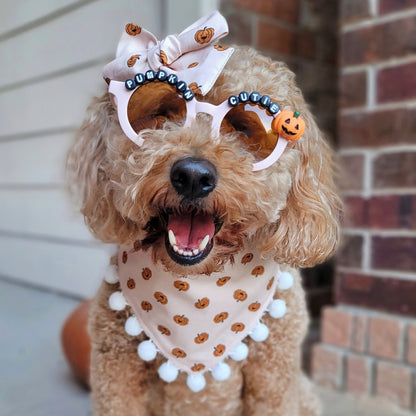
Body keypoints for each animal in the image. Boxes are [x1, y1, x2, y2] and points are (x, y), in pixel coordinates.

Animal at [66, 11, 342, 416]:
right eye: (161, 113)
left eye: (243, 127)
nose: (193, 176)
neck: (198, 290)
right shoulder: (116, 376)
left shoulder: (273, 378)